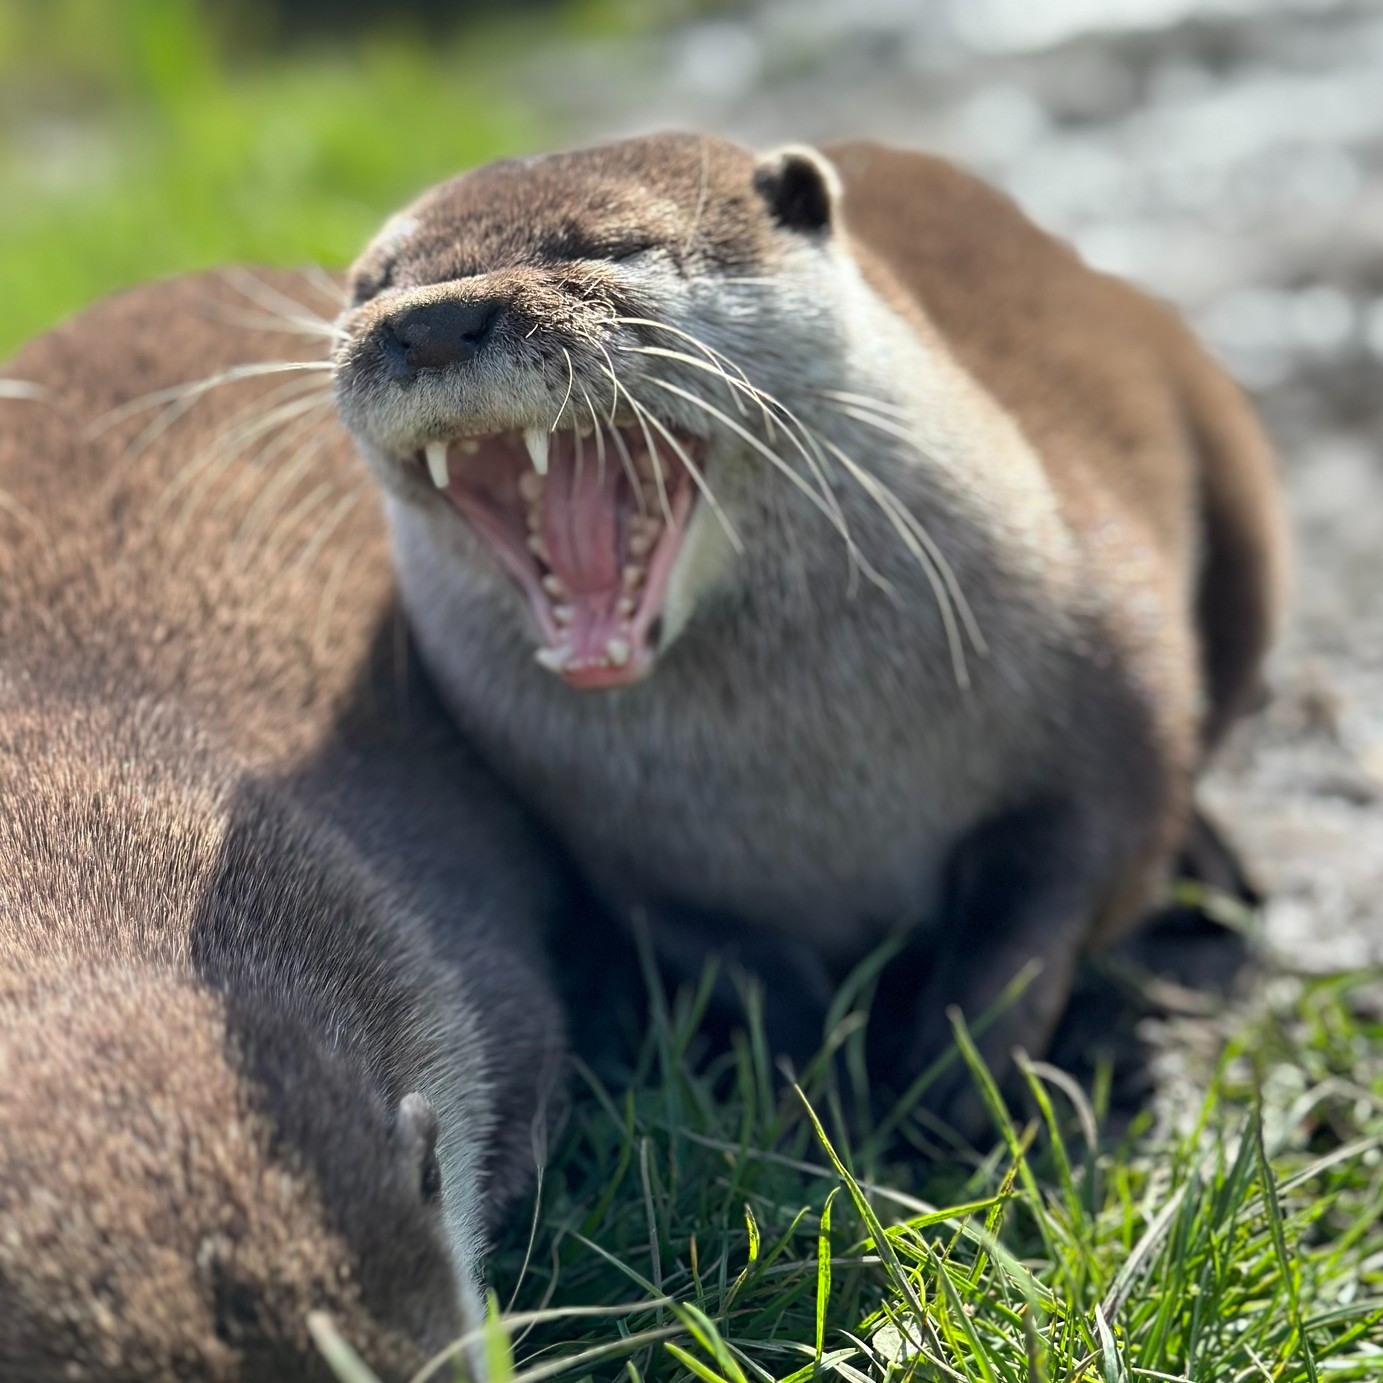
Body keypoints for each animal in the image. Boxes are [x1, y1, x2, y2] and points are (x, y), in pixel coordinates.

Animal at [331, 133, 1286, 1112]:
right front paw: (803, 1090)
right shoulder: (634, 861)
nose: (433, 321)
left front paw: (959, 1083)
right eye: (374, 282)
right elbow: (742, 969)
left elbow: (1048, 902)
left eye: (612, 245)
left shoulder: (1107, 693)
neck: (816, 778)